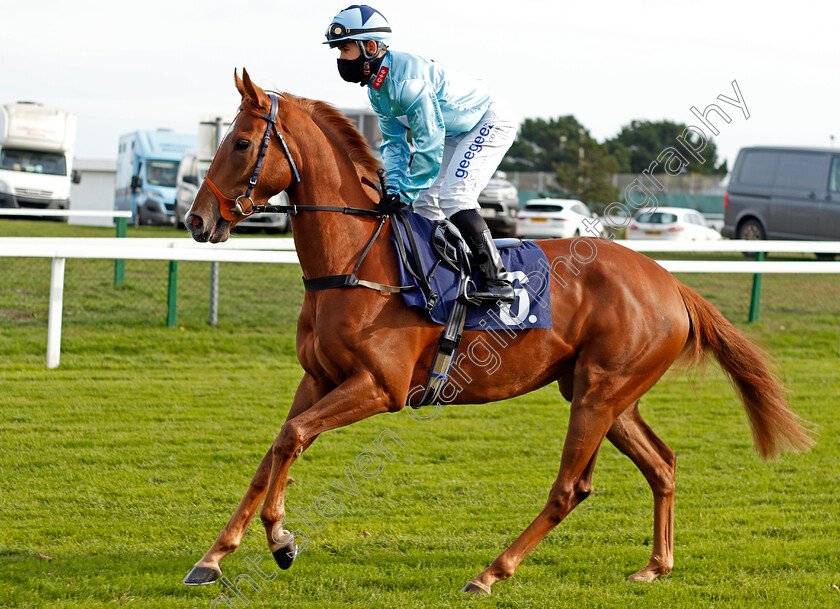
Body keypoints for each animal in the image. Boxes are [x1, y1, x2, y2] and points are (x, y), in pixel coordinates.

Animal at [182, 67, 812, 592]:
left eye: (241, 143)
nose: (196, 219)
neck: (357, 261)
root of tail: (669, 283)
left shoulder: (380, 387)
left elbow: (291, 438)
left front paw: (281, 540)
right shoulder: (316, 378)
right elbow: (274, 450)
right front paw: (214, 557)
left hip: (601, 392)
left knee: (570, 488)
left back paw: (491, 572)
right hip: (604, 394)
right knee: (662, 464)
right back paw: (655, 565)